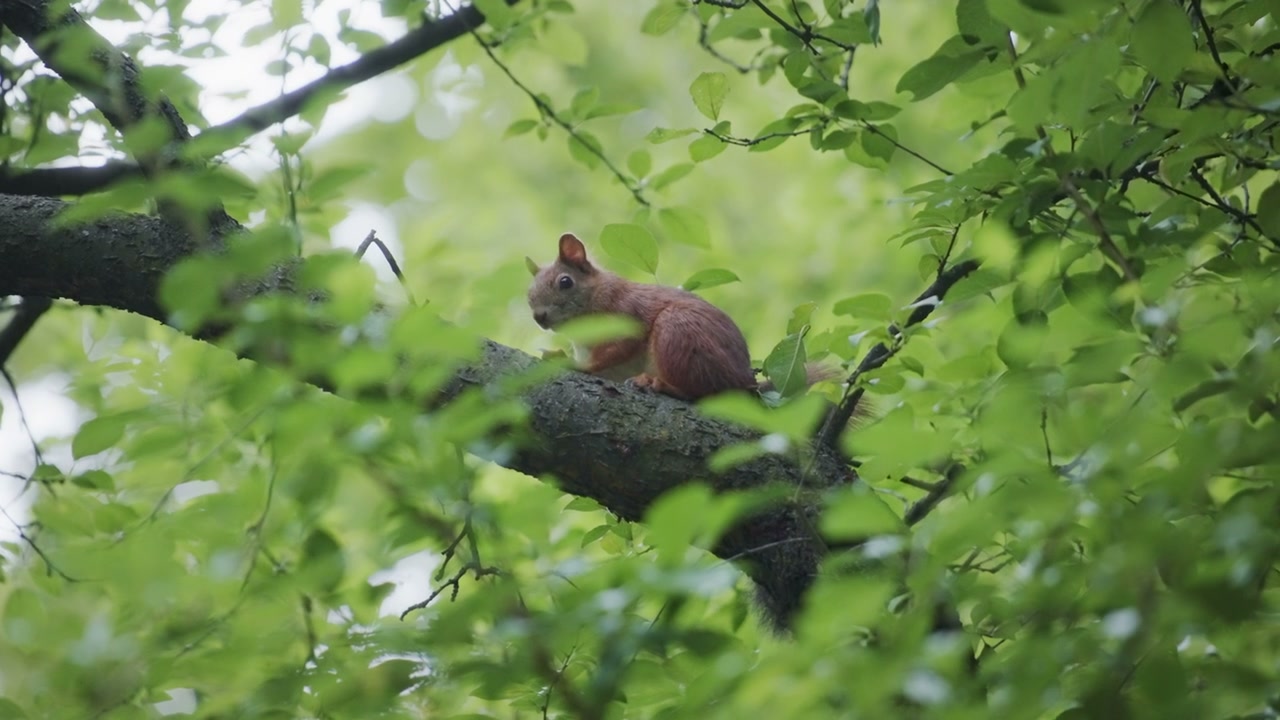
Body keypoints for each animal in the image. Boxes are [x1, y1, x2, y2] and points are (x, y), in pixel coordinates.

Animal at [526, 233, 835, 400]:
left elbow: (613, 351)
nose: (539, 317)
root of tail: (743, 383)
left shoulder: (624, 316)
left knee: (702, 391)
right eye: (529, 292)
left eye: (565, 282)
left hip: (678, 333)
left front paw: (573, 364)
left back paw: (657, 384)